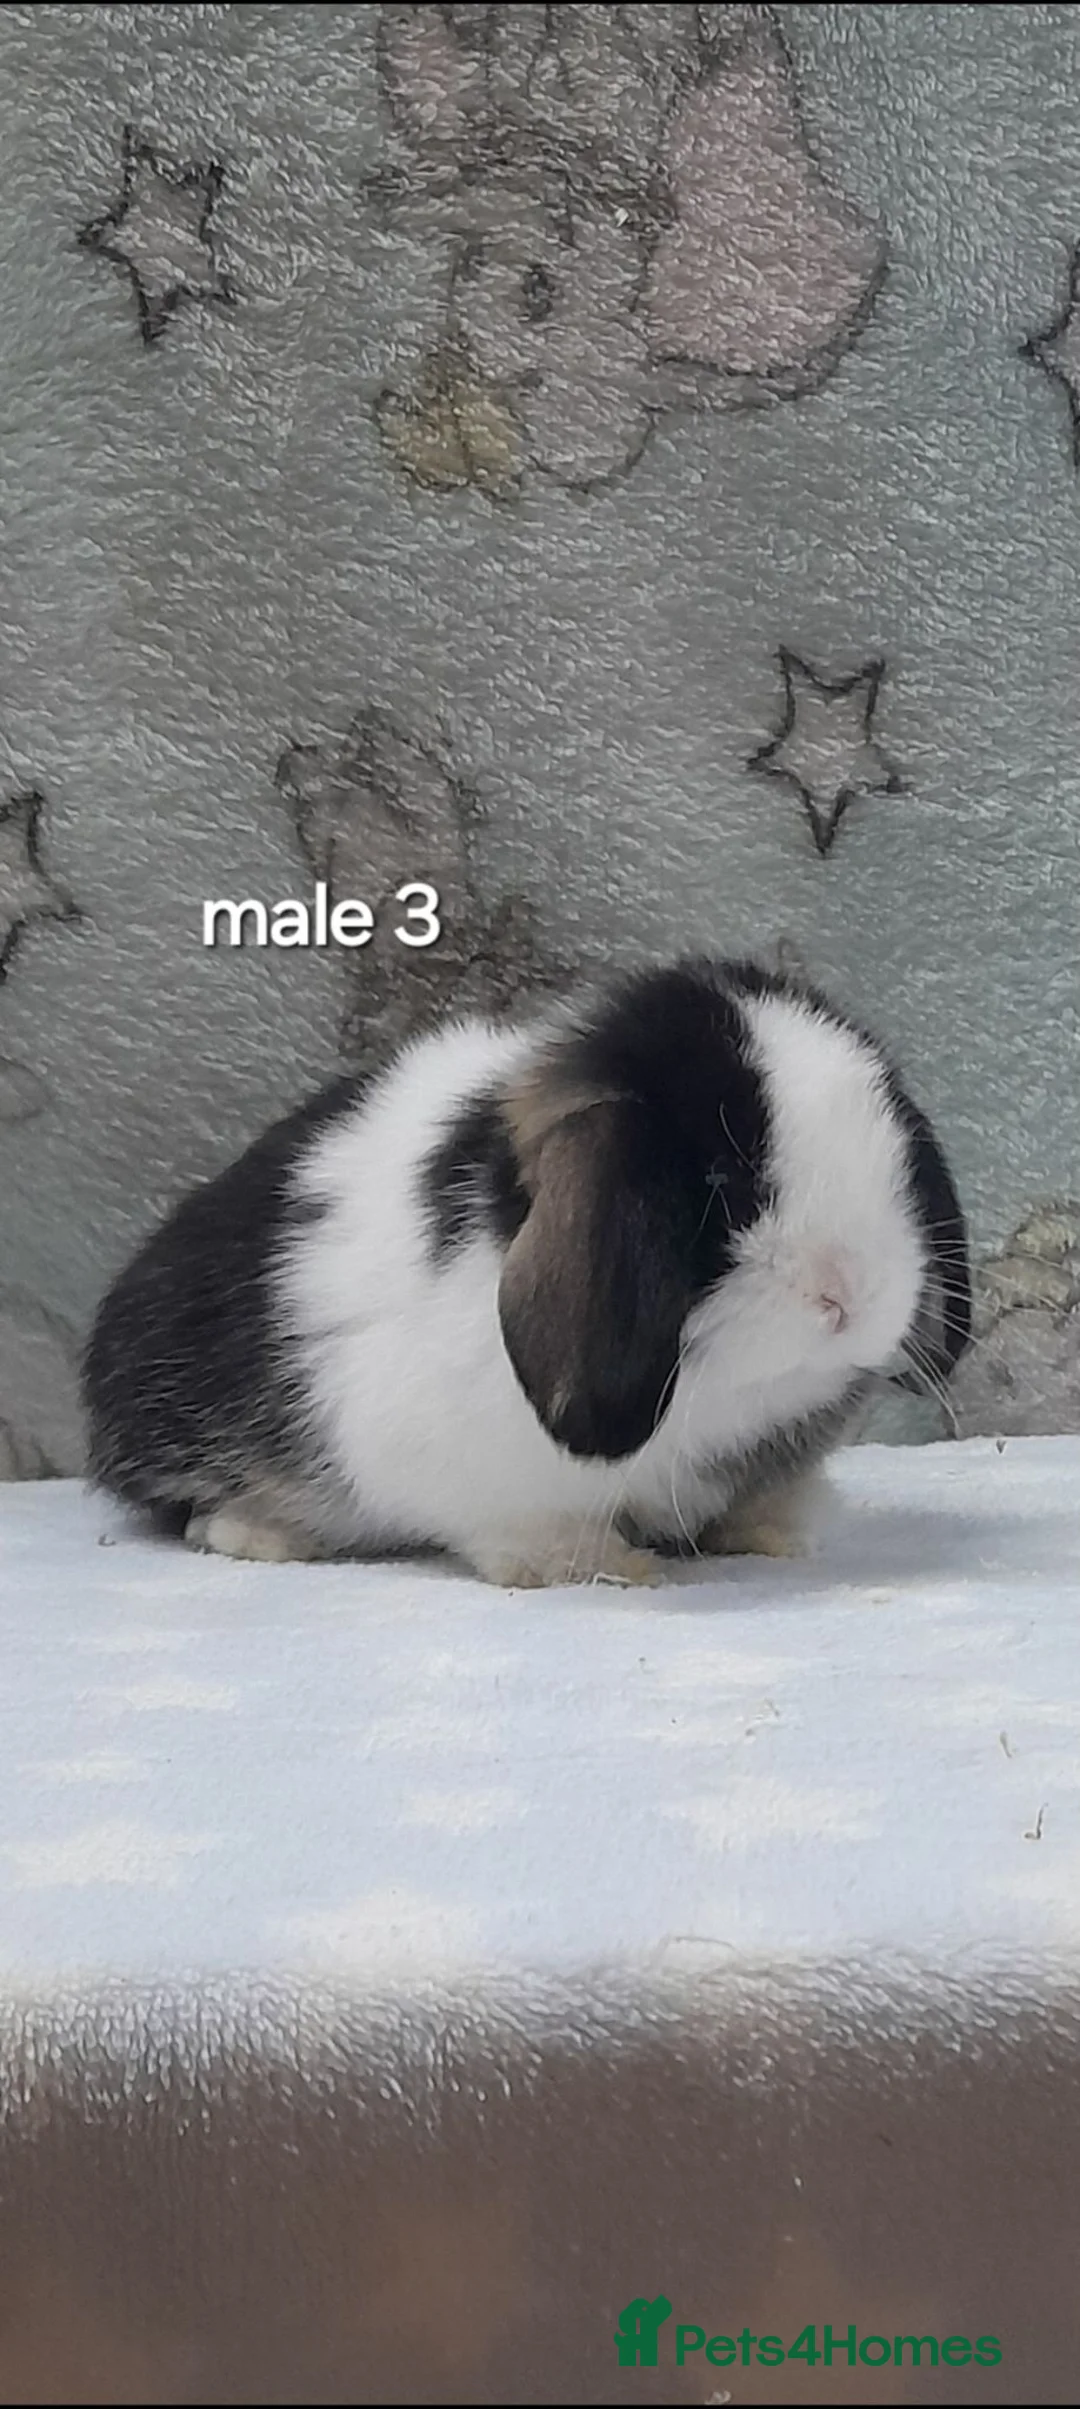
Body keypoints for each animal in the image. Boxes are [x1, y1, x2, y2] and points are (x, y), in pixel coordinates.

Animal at [82, 957, 971, 1588]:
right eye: (721, 1185)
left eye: (897, 1167)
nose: (847, 1294)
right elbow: (533, 1532)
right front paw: (608, 1567)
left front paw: (777, 1531)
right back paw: (258, 1531)